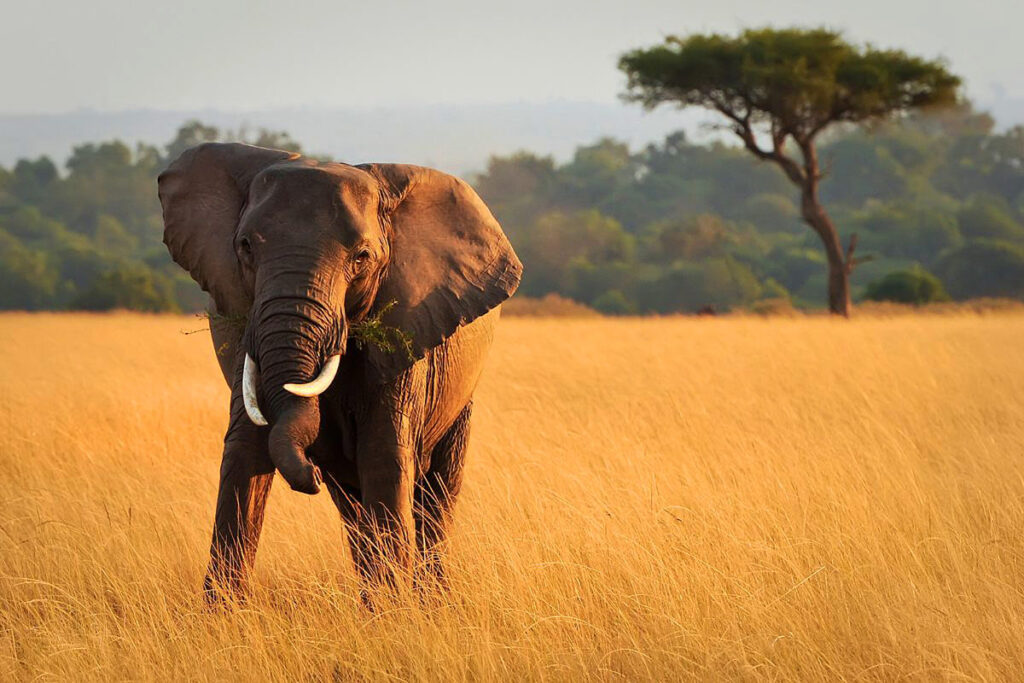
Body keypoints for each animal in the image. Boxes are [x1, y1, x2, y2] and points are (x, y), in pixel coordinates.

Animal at [157, 143, 521, 600]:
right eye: (245, 247)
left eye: (362, 258)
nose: (310, 473)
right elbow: (245, 453)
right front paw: (222, 613)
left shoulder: (408, 330)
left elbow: (384, 456)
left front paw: (396, 611)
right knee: (352, 506)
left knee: (436, 493)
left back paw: (429, 599)